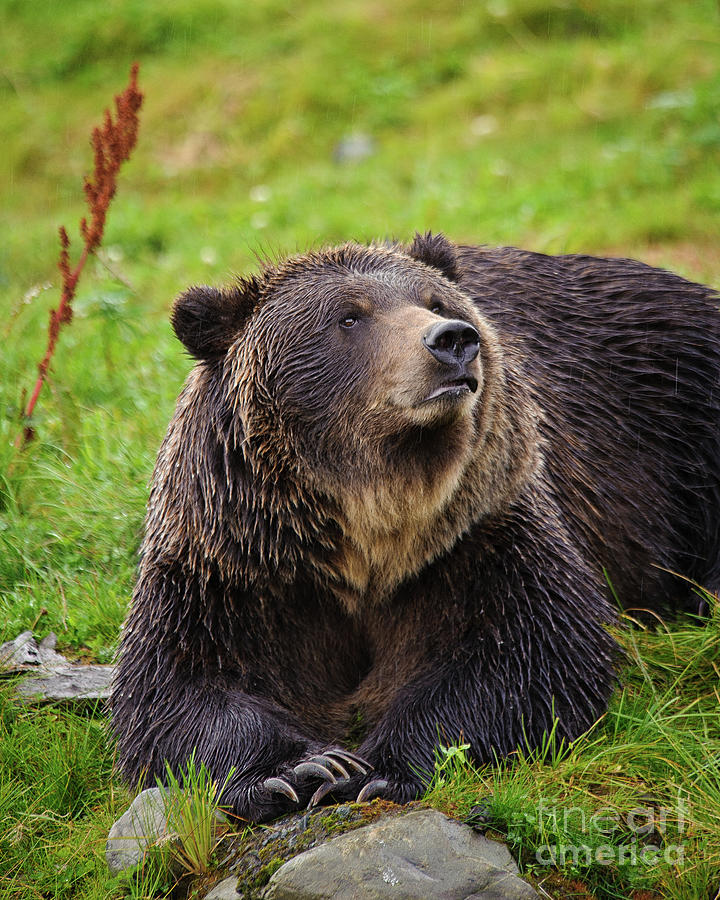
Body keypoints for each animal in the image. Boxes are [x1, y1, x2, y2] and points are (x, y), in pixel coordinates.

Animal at [109, 234, 716, 824]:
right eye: (348, 317)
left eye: (436, 303)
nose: (453, 340)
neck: (370, 527)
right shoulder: (238, 562)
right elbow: (182, 688)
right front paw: (302, 769)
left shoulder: (476, 535)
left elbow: (525, 651)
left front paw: (376, 770)